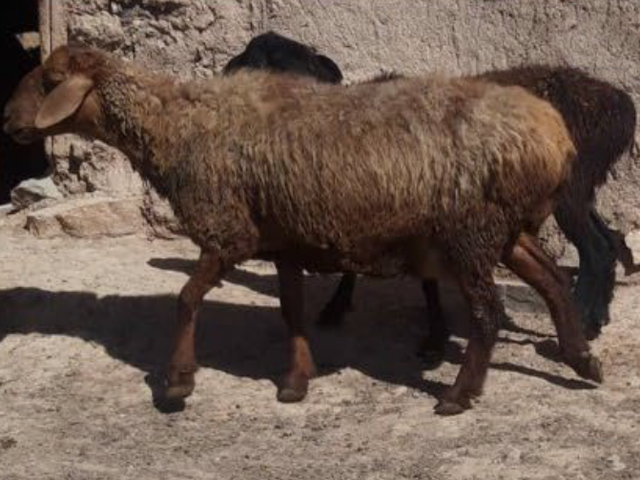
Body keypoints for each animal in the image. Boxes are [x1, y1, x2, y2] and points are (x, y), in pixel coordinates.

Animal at [3, 45, 603, 415]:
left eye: (50, 81)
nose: (8, 121)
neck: (180, 127)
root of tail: (552, 135)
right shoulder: (284, 238)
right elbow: (290, 309)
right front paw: (296, 381)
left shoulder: (229, 230)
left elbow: (186, 297)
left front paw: (177, 381)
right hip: (501, 229)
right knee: (550, 280)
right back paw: (581, 359)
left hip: (469, 231)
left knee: (488, 312)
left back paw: (459, 394)